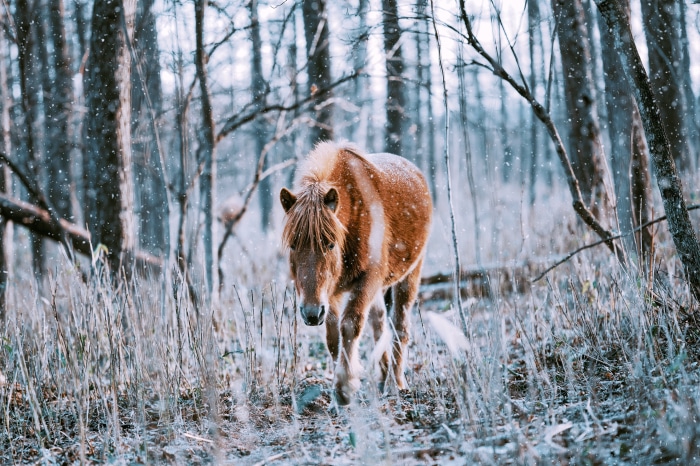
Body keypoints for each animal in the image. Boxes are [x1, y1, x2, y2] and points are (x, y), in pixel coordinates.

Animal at [280, 142, 432, 405]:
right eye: (293, 245)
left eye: (330, 244)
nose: (310, 313)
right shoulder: (329, 294)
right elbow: (333, 338)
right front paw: (339, 390)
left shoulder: (368, 279)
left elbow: (350, 325)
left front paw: (344, 389)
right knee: (379, 321)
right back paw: (383, 374)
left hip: (410, 274)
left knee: (399, 326)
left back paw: (395, 383)